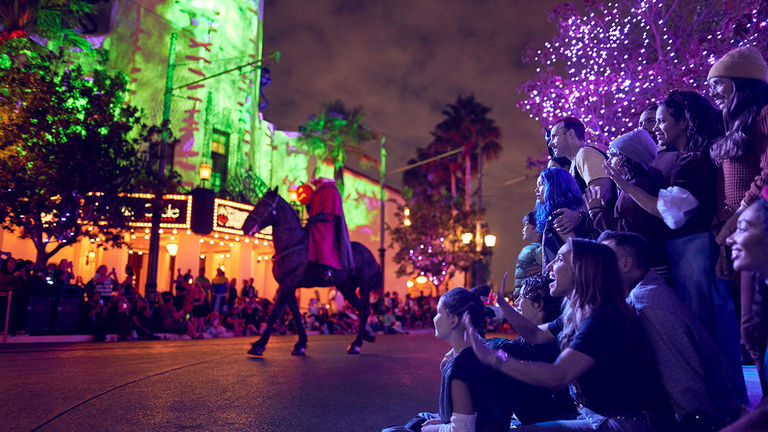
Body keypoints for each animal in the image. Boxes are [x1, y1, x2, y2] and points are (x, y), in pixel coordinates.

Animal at [243, 188, 380, 354]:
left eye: (264, 204)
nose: (245, 226)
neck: (293, 244)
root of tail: (371, 255)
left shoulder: (287, 284)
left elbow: (275, 313)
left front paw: (259, 345)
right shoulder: (288, 287)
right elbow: (295, 313)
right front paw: (301, 343)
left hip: (364, 287)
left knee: (365, 310)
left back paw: (357, 344)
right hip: (347, 288)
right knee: (361, 309)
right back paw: (366, 336)